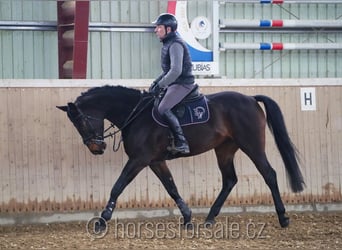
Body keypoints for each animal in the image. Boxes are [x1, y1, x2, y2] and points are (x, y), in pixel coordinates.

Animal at [56, 85, 304, 230]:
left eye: (82, 121)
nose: (96, 148)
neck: (136, 115)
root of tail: (251, 99)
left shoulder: (139, 159)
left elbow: (118, 186)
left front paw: (102, 220)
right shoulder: (155, 161)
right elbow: (171, 187)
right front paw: (187, 218)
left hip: (251, 145)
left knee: (269, 174)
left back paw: (283, 218)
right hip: (224, 149)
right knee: (229, 180)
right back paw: (209, 219)